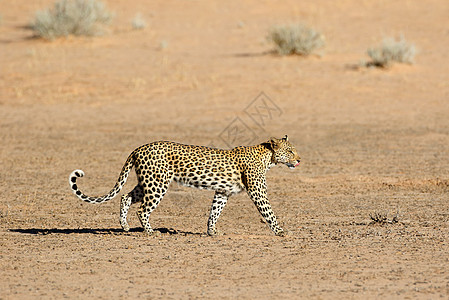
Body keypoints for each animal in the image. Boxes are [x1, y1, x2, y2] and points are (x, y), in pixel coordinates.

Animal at [69, 135, 300, 236]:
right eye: (290, 151)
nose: (299, 160)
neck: (268, 158)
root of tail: (138, 148)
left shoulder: (222, 192)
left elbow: (214, 211)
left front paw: (211, 231)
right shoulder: (257, 191)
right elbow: (269, 212)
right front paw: (280, 231)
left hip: (147, 182)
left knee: (126, 197)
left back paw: (125, 226)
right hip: (157, 184)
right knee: (143, 209)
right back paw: (150, 231)